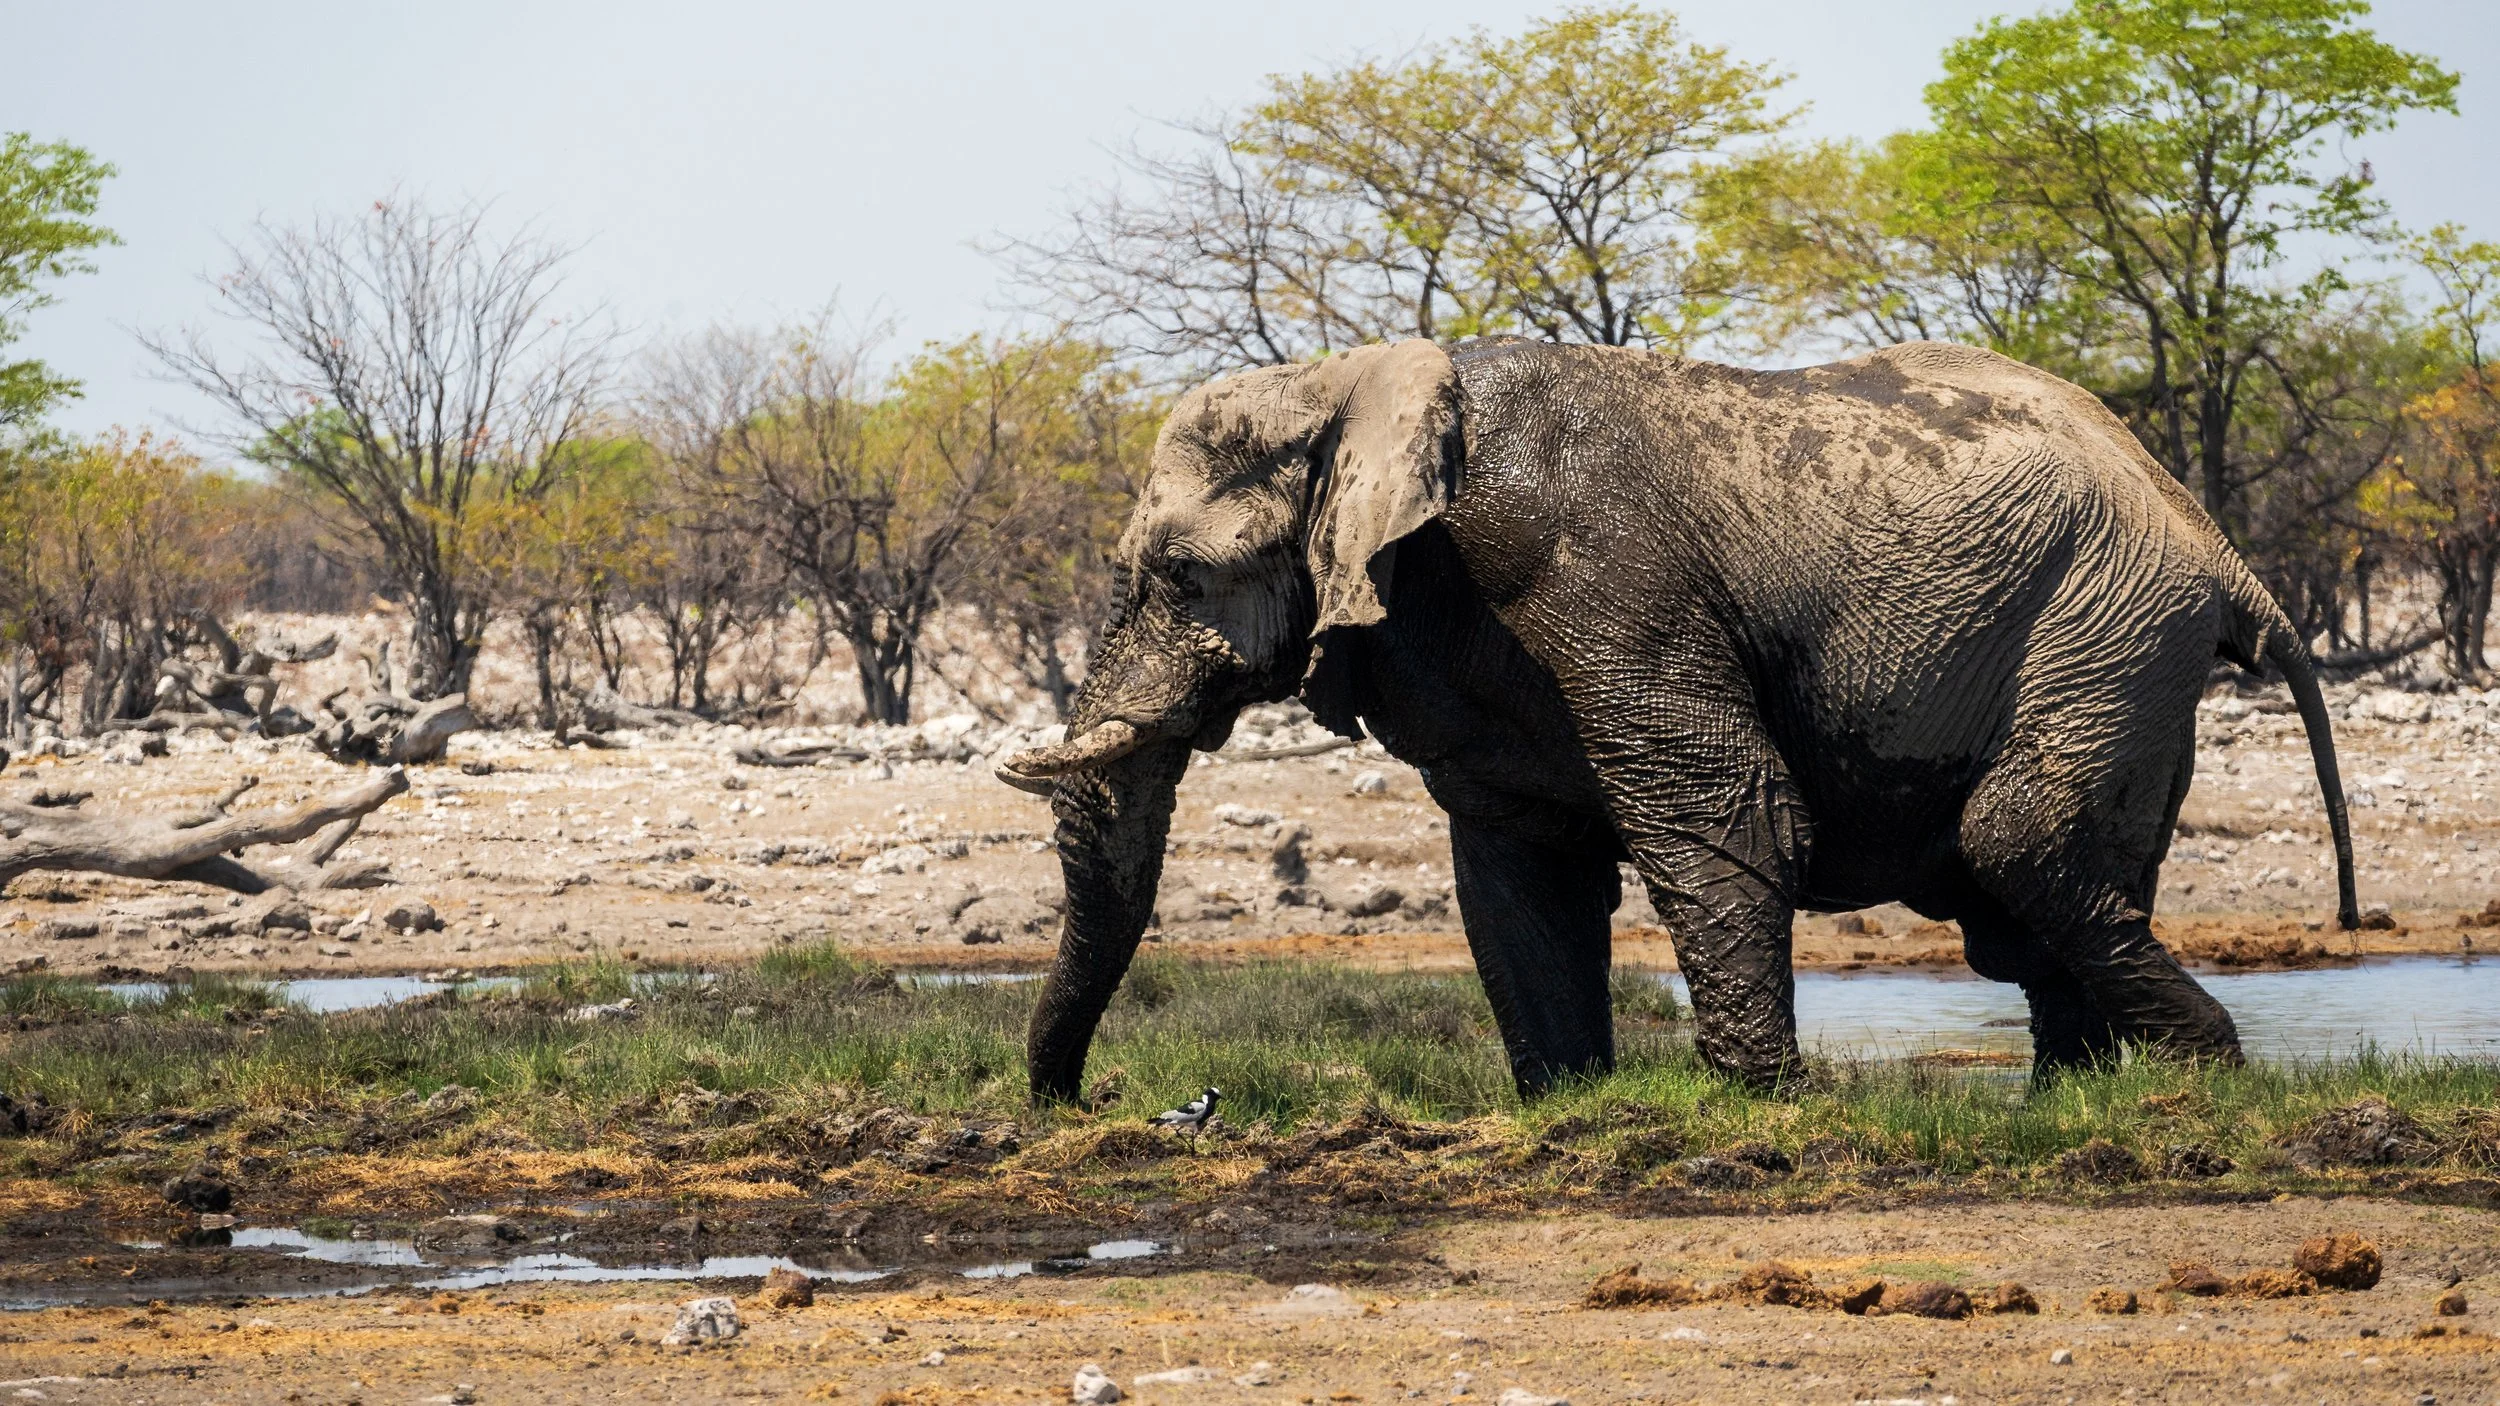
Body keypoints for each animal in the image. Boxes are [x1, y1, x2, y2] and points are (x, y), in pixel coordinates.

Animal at [998, 336, 2359, 1101]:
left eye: (1179, 575)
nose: (1092, 1101)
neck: (1353, 383)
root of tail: (2221, 549)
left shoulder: (1598, 573)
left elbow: (1725, 816)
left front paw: (1760, 1104)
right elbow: (1516, 871)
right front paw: (1568, 1108)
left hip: (2108, 624)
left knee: (2017, 843)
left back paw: (2210, 1070)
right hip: (2116, 638)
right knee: (2024, 896)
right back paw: (2067, 1104)